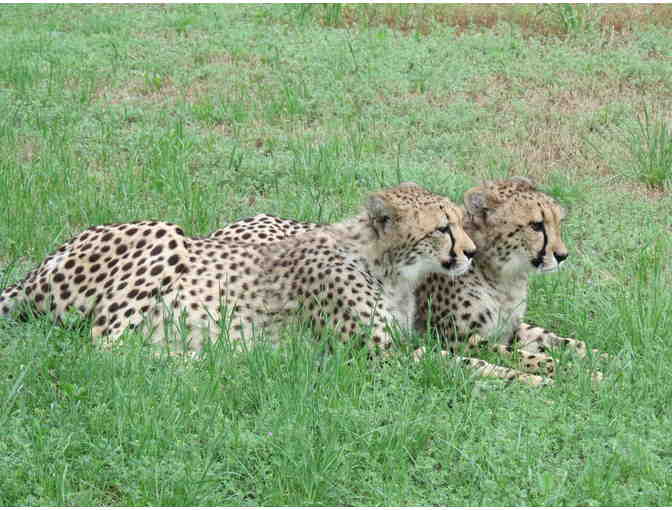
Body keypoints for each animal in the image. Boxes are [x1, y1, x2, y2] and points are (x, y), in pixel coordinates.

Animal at [1, 183, 499, 366]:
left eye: (461, 221)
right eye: (443, 228)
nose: (472, 253)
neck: (392, 270)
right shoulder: (375, 355)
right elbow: (458, 365)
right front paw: (517, 381)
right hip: (166, 232)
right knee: (104, 344)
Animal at [208, 177, 604, 384]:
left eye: (556, 222)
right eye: (536, 225)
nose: (562, 254)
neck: (501, 274)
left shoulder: (508, 328)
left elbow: (564, 342)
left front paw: (605, 359)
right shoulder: (454, 338)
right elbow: (521, 357)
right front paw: (571, 372)